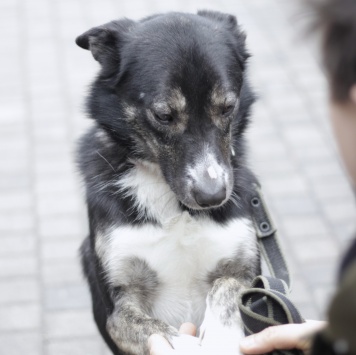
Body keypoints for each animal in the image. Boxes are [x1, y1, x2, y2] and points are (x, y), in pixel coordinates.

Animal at [76, 10, 260, 355]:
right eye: (163, 116)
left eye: (228, 107)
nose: (212, 196)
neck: (176, 207)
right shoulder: (120, 302)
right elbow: (160, 332)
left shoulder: (245, 273)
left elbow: (227, 287)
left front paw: (221, 338)